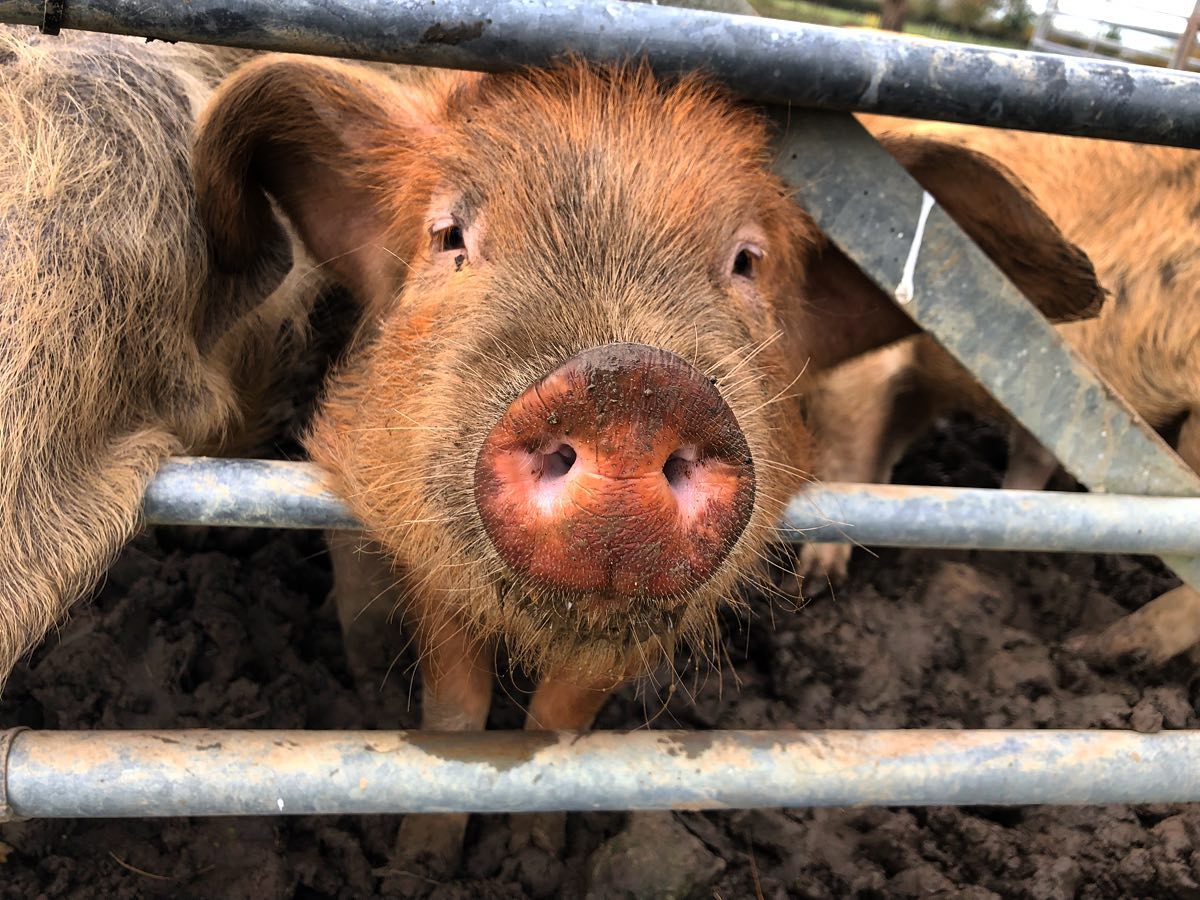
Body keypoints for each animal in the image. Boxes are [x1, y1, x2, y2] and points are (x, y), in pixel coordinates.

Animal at [189, 54, 1104, 873]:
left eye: (747, 261)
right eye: (448, 236)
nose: (630, 384)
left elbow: (562, 718)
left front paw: (532, 848)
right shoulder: (424, 535)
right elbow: (454, 709)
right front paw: (421, 864)